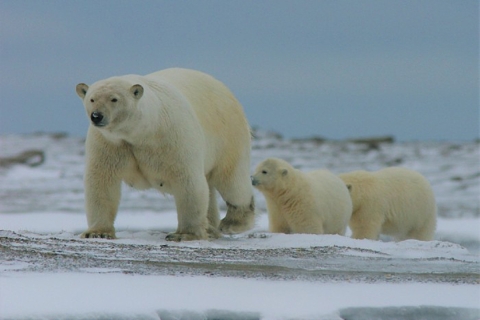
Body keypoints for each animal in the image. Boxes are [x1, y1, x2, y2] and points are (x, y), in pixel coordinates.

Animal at [75, 68, 255, 242]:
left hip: (229, 134)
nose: (97, 116)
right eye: (92, 99)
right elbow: (102, 181)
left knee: (231, 180)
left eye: (114, 99)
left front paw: (184, 234)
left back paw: (233, 222)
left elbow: (187, 181)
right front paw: (97, 233)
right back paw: (210, 228)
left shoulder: (171, 137)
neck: (141, 132)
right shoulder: (109, 143)